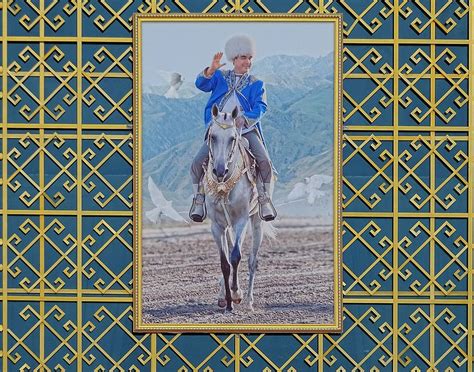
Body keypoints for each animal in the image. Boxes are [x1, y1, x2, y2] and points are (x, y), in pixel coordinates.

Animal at [203, 104, 276, 310]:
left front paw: (236, 294)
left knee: (252, 260)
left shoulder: (241, 221)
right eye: (212, 136)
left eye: (232, 138)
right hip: (228, 227)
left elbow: (236, 256)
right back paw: (222, 295)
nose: (220, 170)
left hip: (256, 221)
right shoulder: (217, 225)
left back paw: (249, 300)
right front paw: (227, 301)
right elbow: (224, 262)